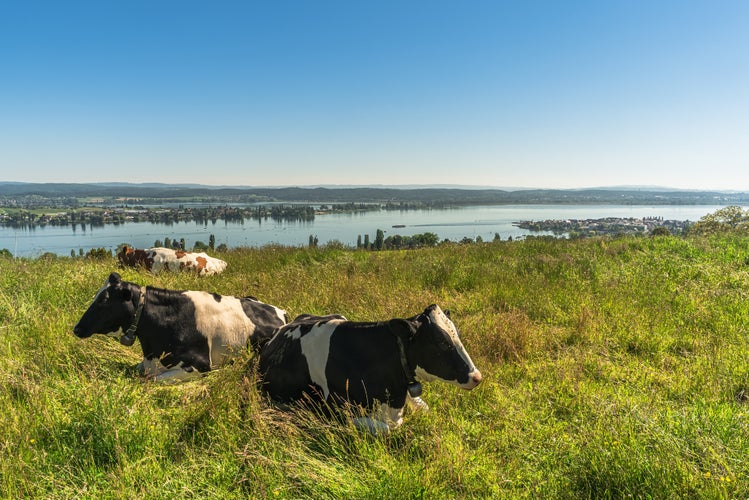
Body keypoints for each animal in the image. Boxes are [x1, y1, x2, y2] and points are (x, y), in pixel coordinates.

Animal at [73, 274, 288, 382]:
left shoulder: (201, 364)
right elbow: (139, 370)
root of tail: (280, 311)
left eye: (104, 300)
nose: (76, 329)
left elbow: (154, 379)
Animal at [256, 304, 480, 434]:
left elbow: (424, 408)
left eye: (458, 334)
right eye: (441, 342)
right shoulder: (332, 412)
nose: (476, 377)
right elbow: (387, 429)